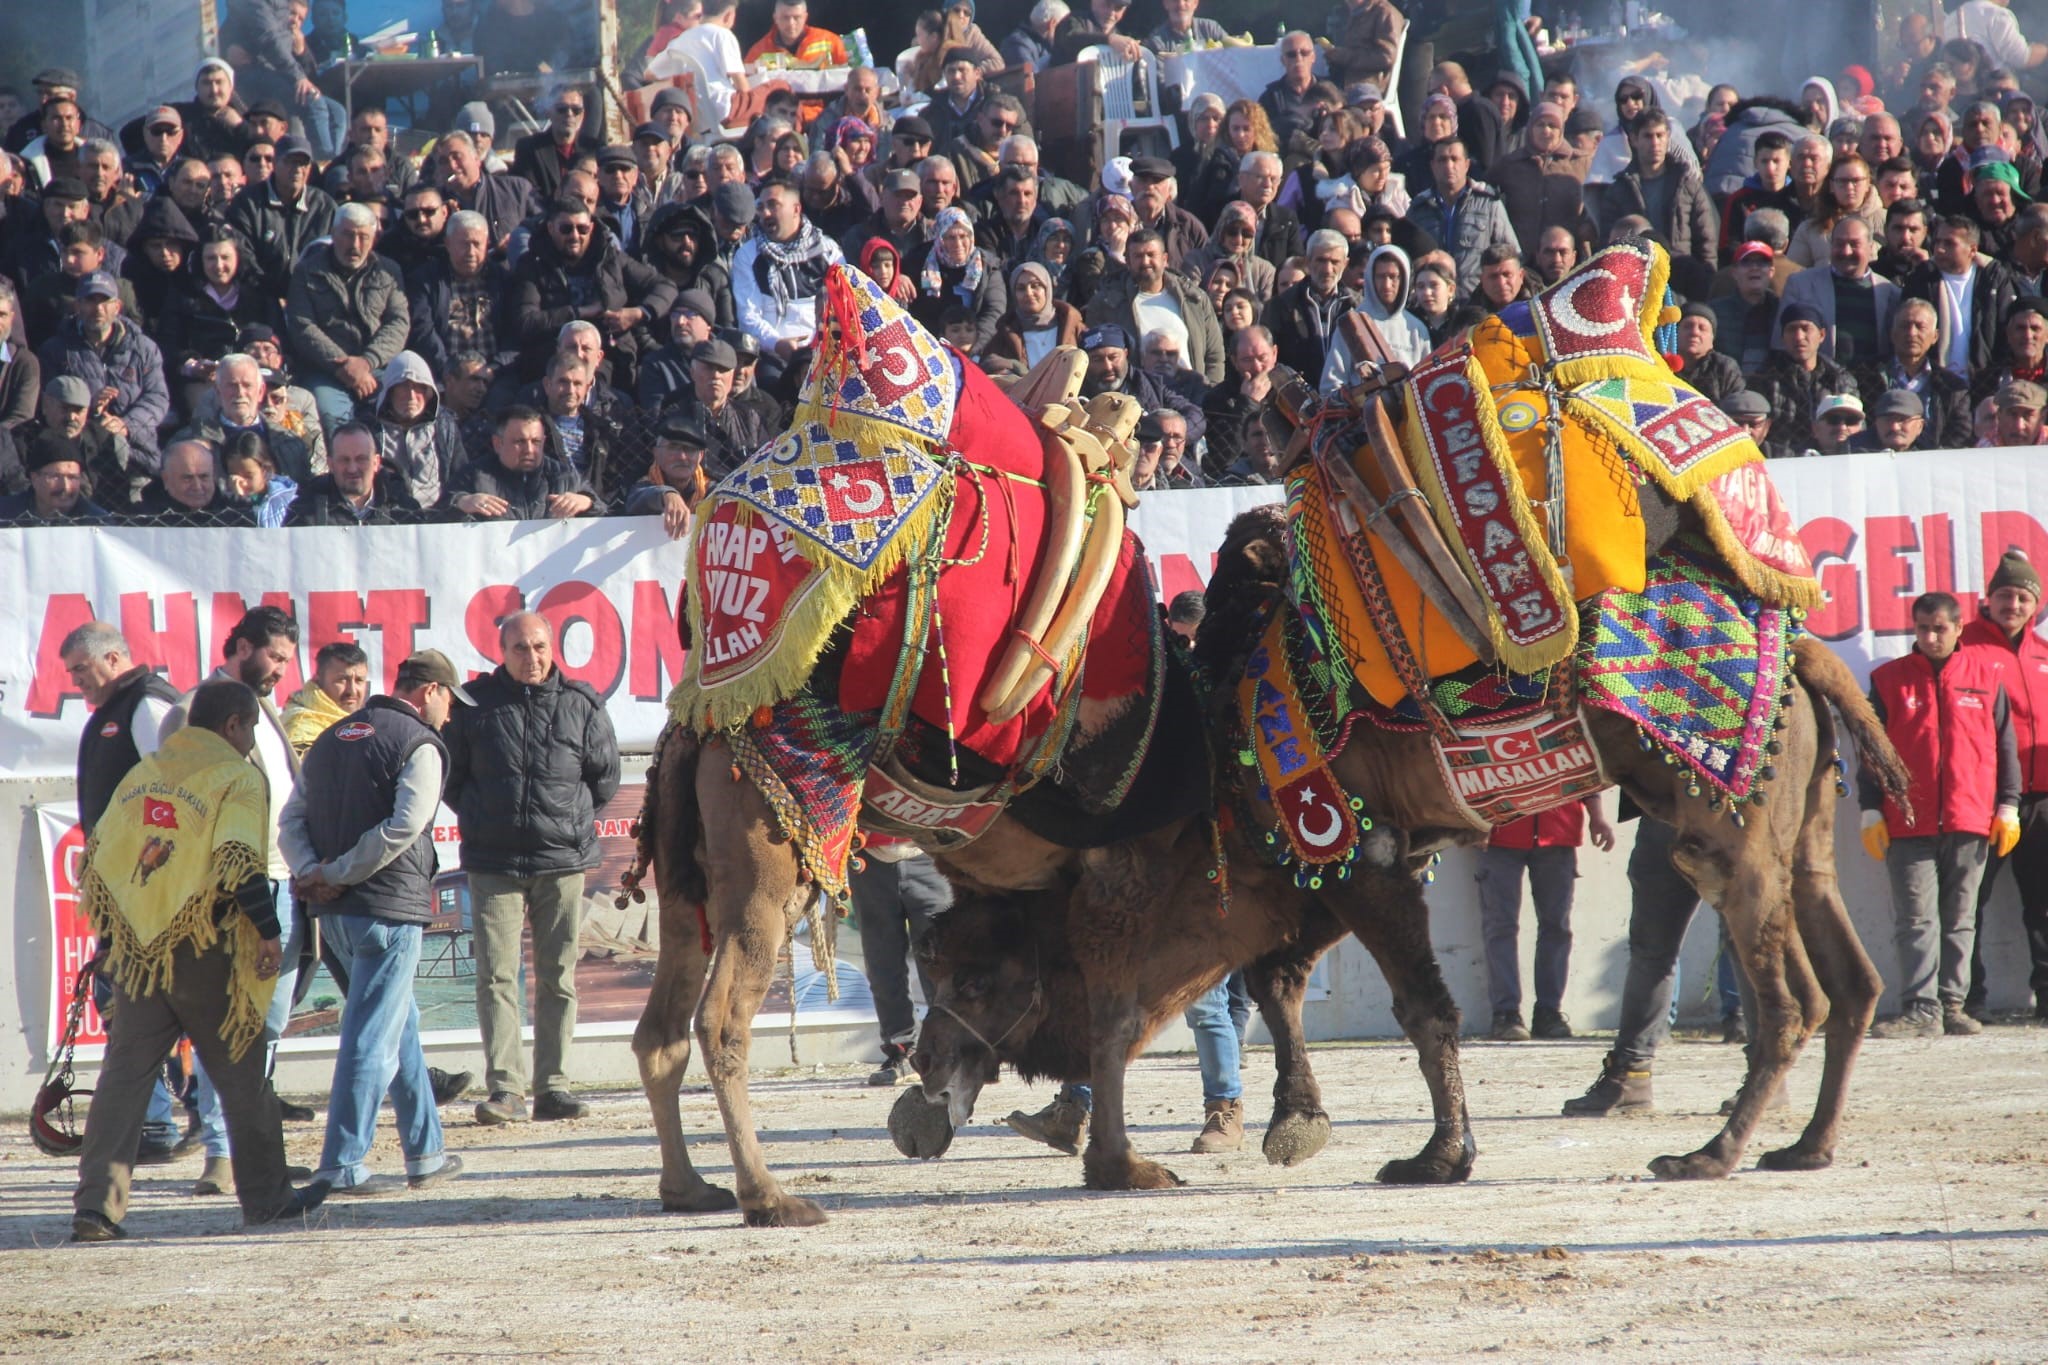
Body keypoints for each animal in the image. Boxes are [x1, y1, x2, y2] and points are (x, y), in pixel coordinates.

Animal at [1196, 505, 1908, 1186]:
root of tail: (1805, 653)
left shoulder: (1356, 849)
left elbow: (1419, 1007)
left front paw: (1433, 1158)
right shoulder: (1362, 857)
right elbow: (1278, 973)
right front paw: (1300, 1124)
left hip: (1733, 834)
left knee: (1790, 1001)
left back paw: (1708, 1155)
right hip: (1803, 827)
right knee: (1850, 978)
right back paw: (1806, 1147)